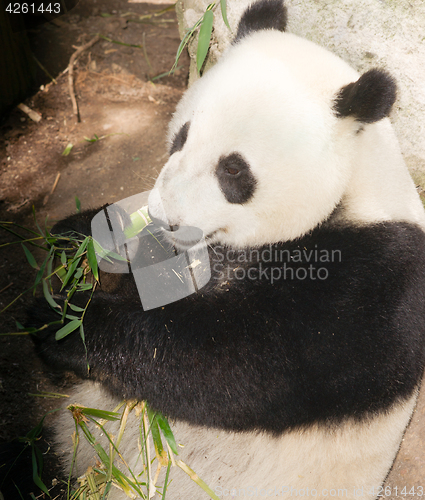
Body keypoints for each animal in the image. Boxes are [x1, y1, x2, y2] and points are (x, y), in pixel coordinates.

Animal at [31, 0, 424, 498]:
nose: (163, 214)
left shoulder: (368, 280)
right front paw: (83, 247)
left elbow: (231, 367)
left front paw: (65, 326)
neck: (355, 184)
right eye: (181, 136)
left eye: (233, 170)